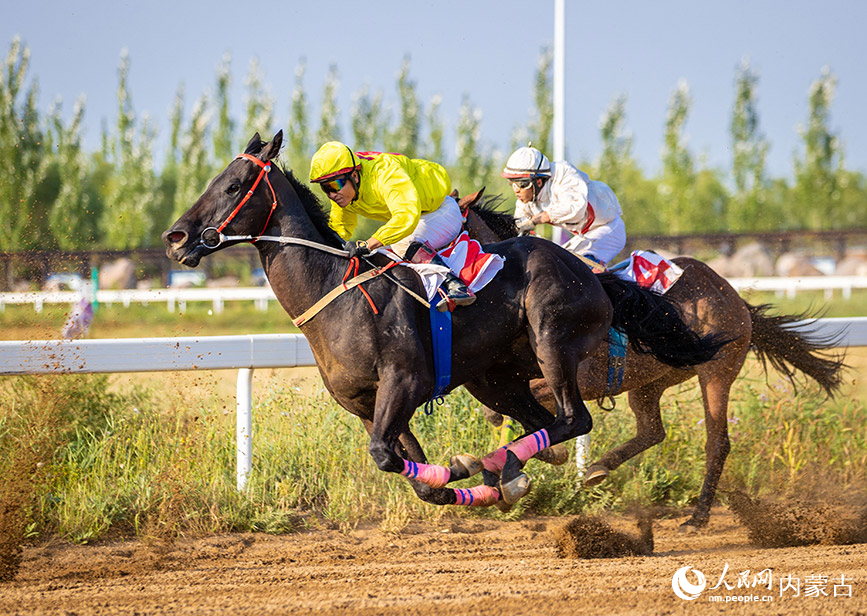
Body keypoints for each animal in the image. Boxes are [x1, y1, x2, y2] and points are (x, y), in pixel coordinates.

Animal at [163, 132, 724, 508]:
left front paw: (471, 470)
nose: (176, 237)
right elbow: (404, 469)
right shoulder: (363, 403)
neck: (336, 294)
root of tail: (589, 272)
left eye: (234, 185)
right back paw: (504, 471)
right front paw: (464, 479)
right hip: (495, 377)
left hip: (552, 340)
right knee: (542, 423)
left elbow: (386, 455)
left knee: (573, 418)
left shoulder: (405, 381)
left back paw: (498, 463)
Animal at [464, 196, 844, 524]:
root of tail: (730, 293)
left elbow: (510, 413)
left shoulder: (575, 378)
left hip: (717, 372)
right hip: (653, 379)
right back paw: (599, 468)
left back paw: (698, 516)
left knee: (717, 441)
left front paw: (537, 458)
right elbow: (498, 413)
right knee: (652, 430)